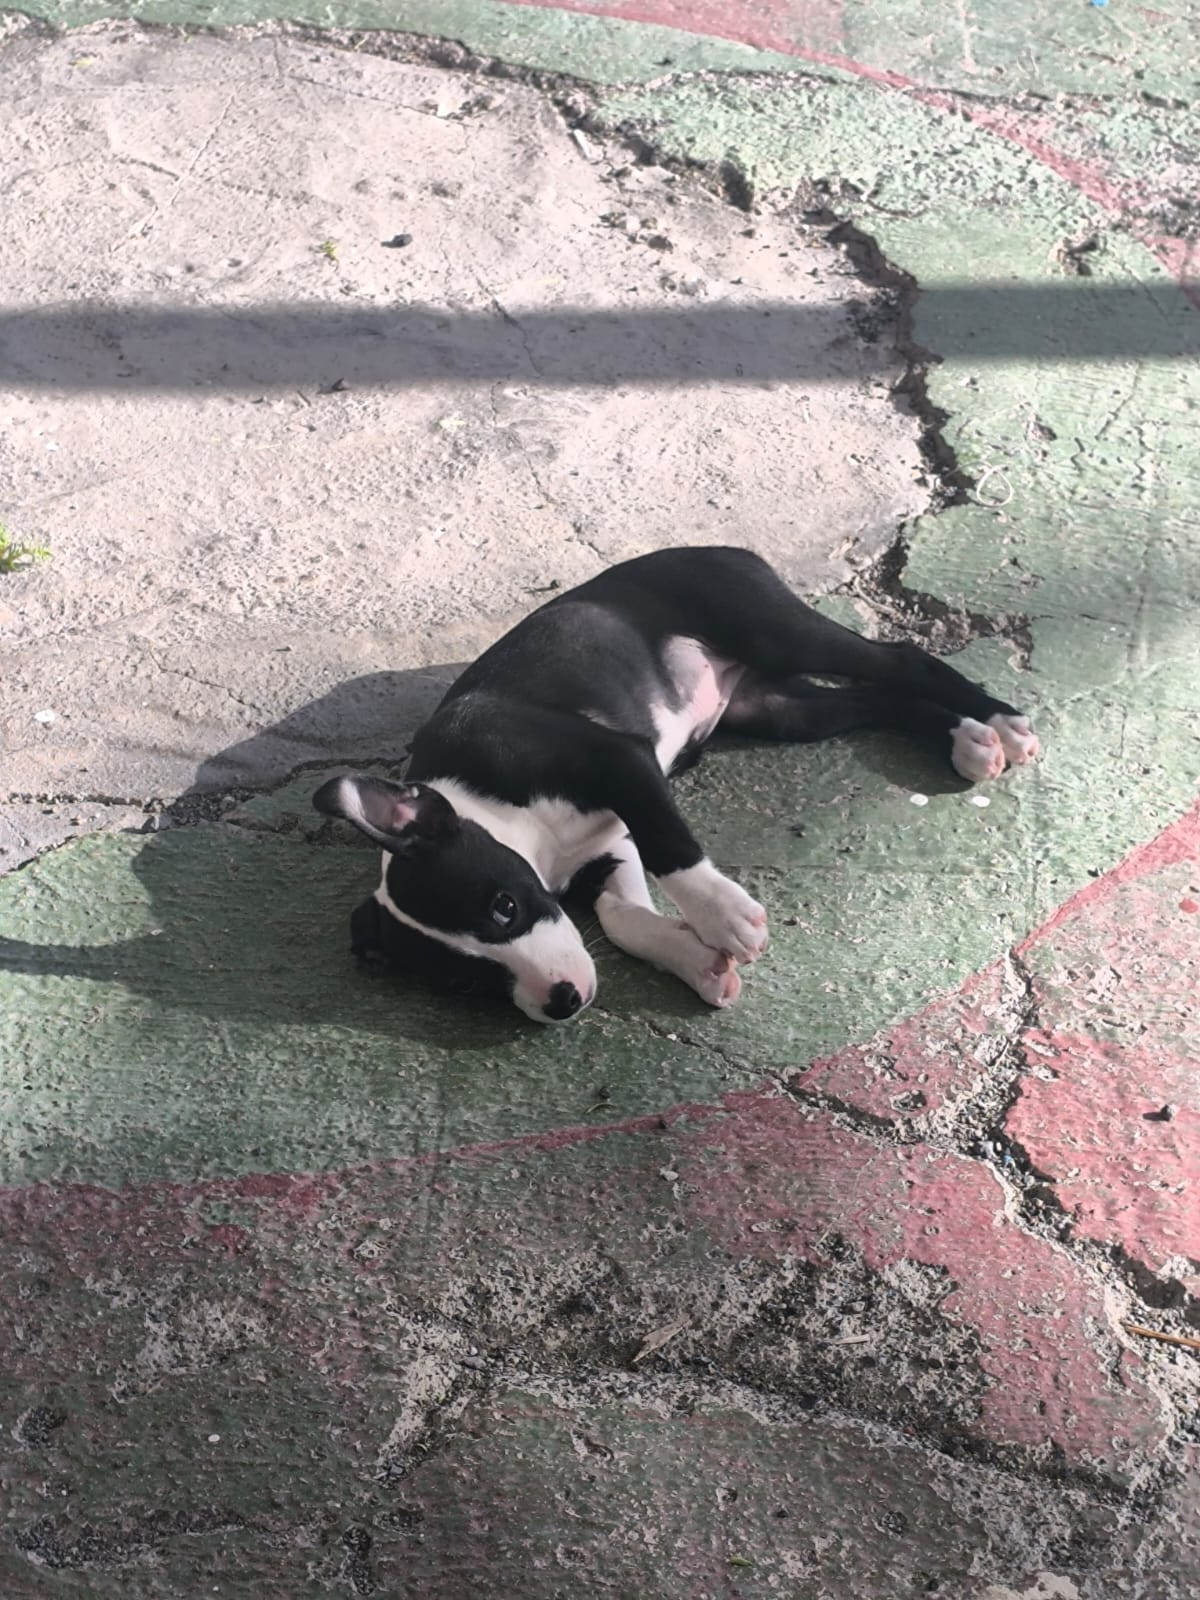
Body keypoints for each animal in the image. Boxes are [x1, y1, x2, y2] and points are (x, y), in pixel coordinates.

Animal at [314, 547, 1038, 1023]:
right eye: (462, 985)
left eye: (503, 908)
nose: (561, 1003)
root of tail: (720, 548)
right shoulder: (610, 845)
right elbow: (622, 920)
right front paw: (697, 963)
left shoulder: (619, 762)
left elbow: (671, 850)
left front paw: (726, 918)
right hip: (781, 711)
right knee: (880, 698)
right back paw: (966, 737)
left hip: (773, 630)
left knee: (901, 661)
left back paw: (998, 722)